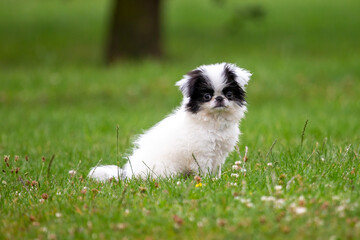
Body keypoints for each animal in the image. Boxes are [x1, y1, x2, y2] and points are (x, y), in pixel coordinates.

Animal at [88, 62, 252, 181]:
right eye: (206, 96)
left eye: (229, 94)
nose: (219, 98)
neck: (213, 121)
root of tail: (128, 175)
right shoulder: (202, 154)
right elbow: (204, 169)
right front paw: (207, 181)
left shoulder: (219, 154)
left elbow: (216, 168)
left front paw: (216, 180)